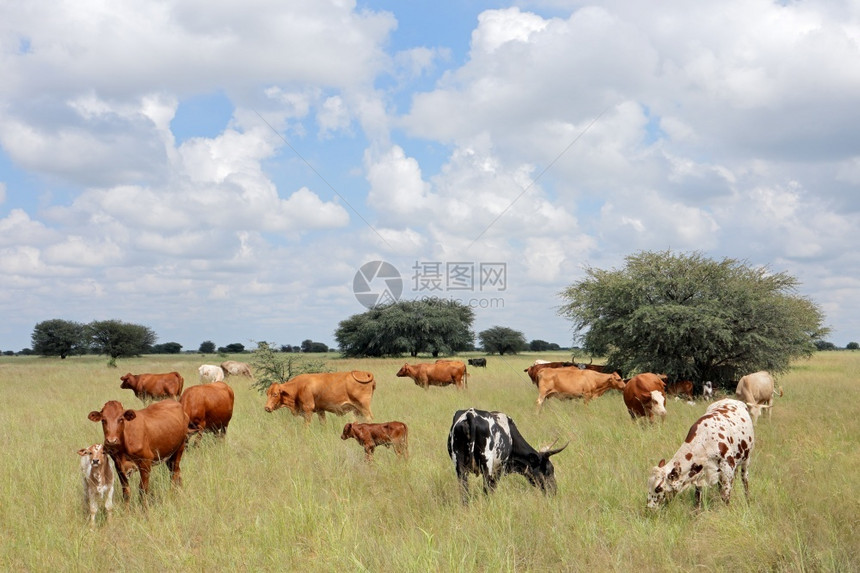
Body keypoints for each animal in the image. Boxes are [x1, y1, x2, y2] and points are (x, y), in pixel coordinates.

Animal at [444, 406, 572, 500]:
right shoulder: (499, 468)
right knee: (486, 489)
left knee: (464, 491)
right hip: (487, 465)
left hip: (460, 466)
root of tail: (470, 414)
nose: (554, 491)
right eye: (548, 471)